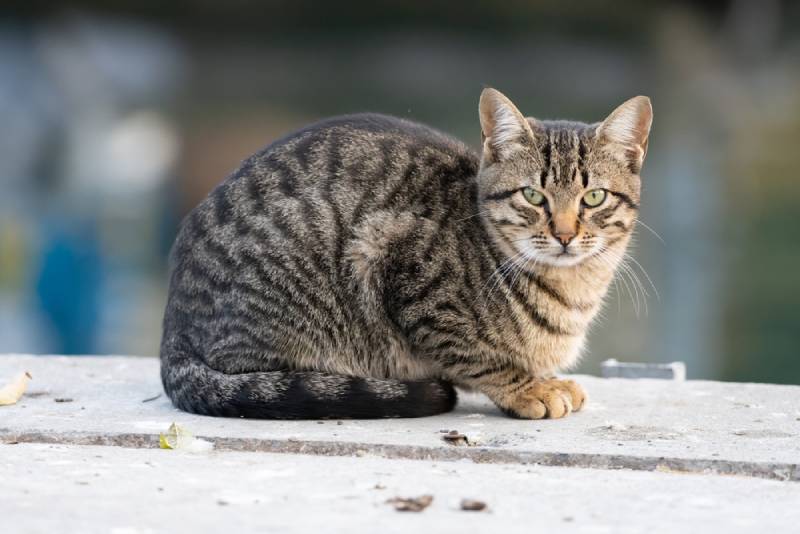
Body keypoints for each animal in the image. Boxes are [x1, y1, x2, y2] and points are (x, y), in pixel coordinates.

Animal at [159, 88, 652, 420]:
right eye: (532, 195)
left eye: (593, 198)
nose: (565, 234)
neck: (573, 291)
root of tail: (173, 328)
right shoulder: (403, 268)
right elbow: (476, 356)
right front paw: (528, 388)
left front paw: (545, 379)